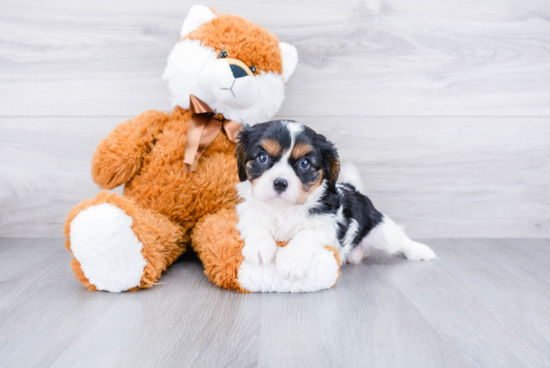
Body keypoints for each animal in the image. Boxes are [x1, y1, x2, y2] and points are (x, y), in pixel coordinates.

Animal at [235, 120, 438, 278]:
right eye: (262, 158)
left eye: (304, 163)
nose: (280, 183)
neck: (284, 209)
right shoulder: (247, 213)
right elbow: (256, 224)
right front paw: (259, 248)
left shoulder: (331, 225)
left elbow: (306, 234)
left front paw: (292, 260)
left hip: (381, 232)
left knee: (400, 240)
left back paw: (420, 251)